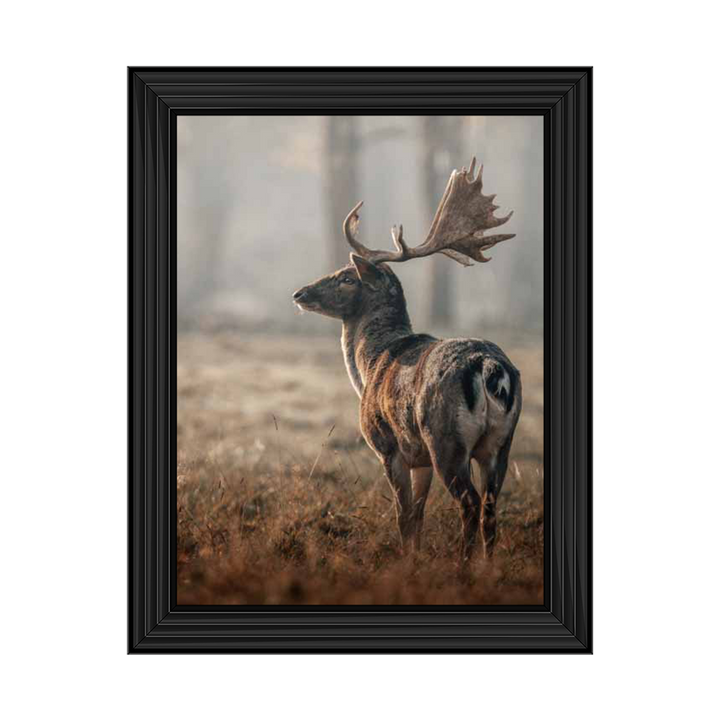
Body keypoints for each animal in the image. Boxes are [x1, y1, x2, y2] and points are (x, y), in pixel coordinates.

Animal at [292, 158, 522, 563]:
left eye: (347, 277)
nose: (300, 293)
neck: (370, 365)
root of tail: (491, 369)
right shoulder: (421, 460)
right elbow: (417, 514)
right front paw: (414, 559)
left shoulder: (389, 446)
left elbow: (402, 516)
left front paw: (405, 563)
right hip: (500, 443)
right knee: (491, 508)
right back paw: (488, 568)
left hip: (445, 438)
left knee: (469, 503)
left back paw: (464, 567)